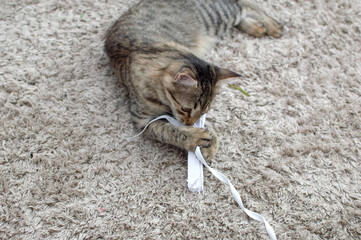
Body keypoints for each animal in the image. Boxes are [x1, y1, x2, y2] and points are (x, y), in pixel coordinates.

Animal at [104, 0, 282, 161]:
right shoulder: (143, 120)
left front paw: (209, 142)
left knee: (247, 5)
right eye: (186, 109)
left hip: (217, 17)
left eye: (204, 111)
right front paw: (195, 138)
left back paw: (271, 26)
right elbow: (170, 131)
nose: (189, 124)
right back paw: (257, 27)